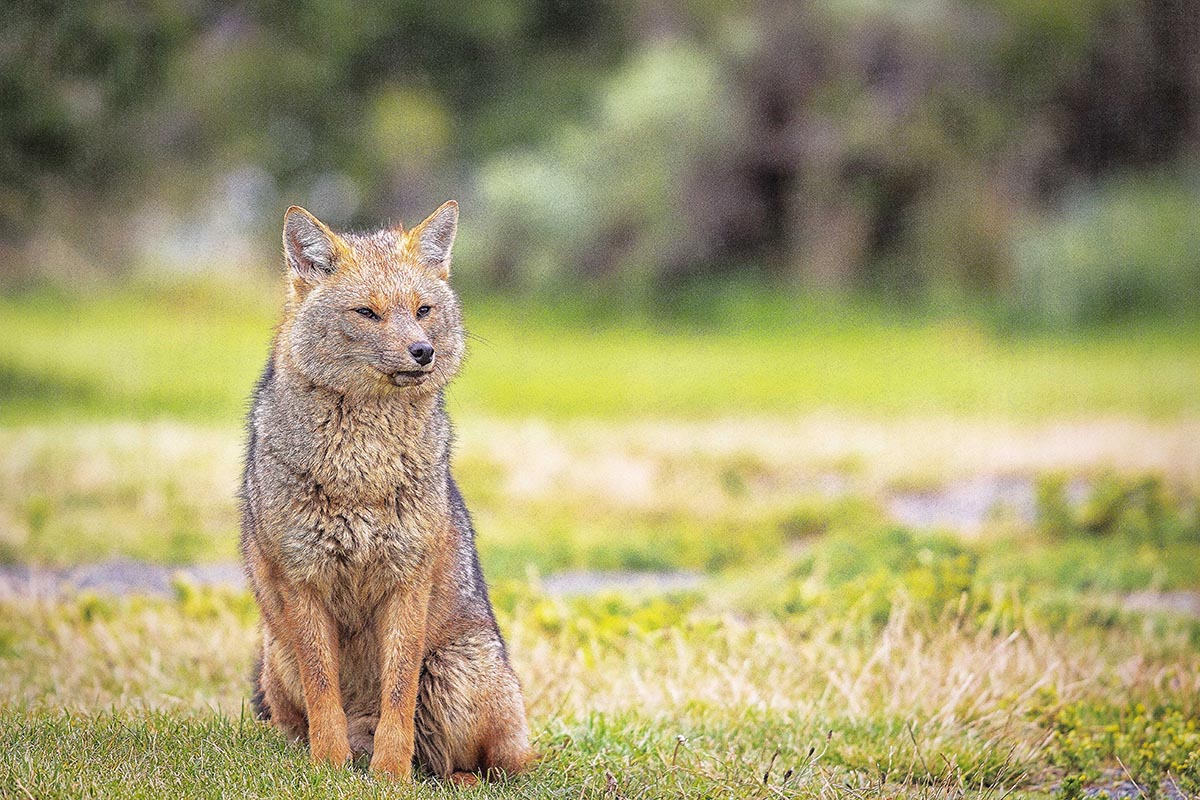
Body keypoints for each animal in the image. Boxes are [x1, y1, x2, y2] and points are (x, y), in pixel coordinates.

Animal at [238, 200, 530, 782]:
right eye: (367, 313)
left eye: (422, 310)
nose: (423, 352)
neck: (362, 470)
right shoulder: (304, 581)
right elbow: (324, 694)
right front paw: (327, 770)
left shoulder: (407, 578)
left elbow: (399, 694)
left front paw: (389, 775)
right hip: (278, 656)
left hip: (454, 674)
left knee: (492, 765)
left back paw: (444, 777)